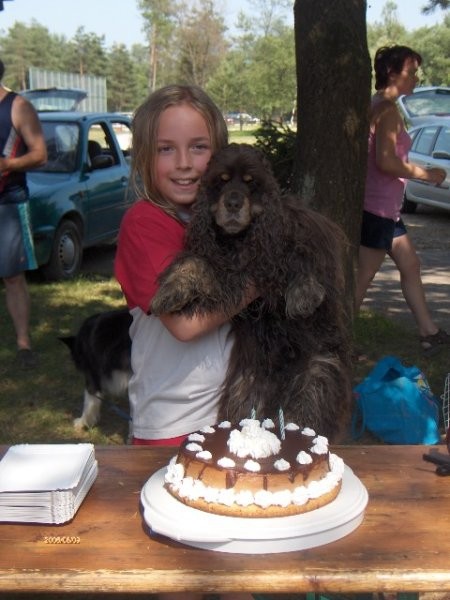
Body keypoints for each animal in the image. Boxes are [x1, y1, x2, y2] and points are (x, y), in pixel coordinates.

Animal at [153, 141, 354, 440]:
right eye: (222, 181)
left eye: (251, 183)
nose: (233, 203)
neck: (242, 239)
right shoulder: (225, 267)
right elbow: (195, 261)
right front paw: (171, 290)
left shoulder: (304, 227)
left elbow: (300, 253)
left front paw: (304, 293)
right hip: (246, 388)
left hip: (316, 377)